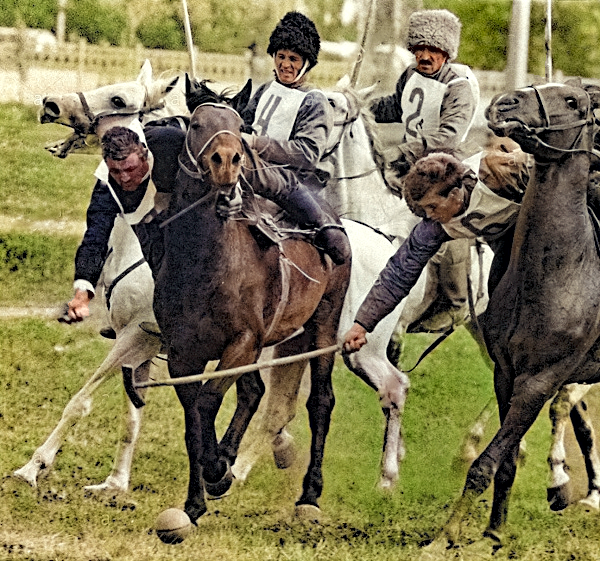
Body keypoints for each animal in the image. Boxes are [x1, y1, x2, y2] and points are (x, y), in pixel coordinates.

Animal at [154, 103, 352, 524]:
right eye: (196, 124)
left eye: (239, 126)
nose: (227, 161)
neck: (203, 265)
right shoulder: (182, 356)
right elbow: (193, 422)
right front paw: (195, 501)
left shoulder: (242, 343)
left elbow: (208, 401)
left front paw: (217, 471)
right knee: (253, 390)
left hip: (324, 324)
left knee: (320, 401)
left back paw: (310, 493)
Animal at [426, 80, 600, 552]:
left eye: (573, 101)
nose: (506, 102)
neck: (558, 270)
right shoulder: (506, 374)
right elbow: (503, 461)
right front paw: (493, 531)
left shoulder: (540, 379)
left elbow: (486, 462)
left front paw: (446, 535)